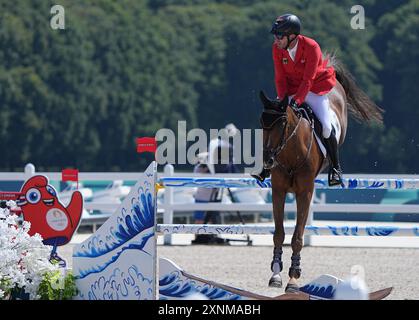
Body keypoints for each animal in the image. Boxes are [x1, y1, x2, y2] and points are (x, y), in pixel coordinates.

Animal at [260, 55, 386, 292]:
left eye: (282, 122)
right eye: (261, 124)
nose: (268, 159)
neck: (291, 153)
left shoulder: (305, 193)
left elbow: (298, 237)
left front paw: (293, 278)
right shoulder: (278, 191)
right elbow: (279, 233)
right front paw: (276, 274)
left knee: (330, 132)